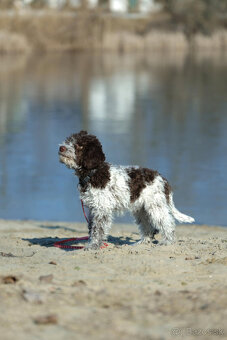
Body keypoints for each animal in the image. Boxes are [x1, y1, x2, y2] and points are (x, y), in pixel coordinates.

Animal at [57, 130, 194, 250]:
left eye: (79, 145)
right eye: (68, 140)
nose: (61, 148)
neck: (92, 173)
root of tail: (162, 179)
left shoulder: (102, 209)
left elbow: (98, 229)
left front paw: (93, 246)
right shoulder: (93, 208)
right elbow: (92, 228)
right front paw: (92, 243)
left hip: (155, 206)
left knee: (167, 223)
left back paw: (167, 242)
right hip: (141, 210)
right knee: (149, 228)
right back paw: (142, 243)